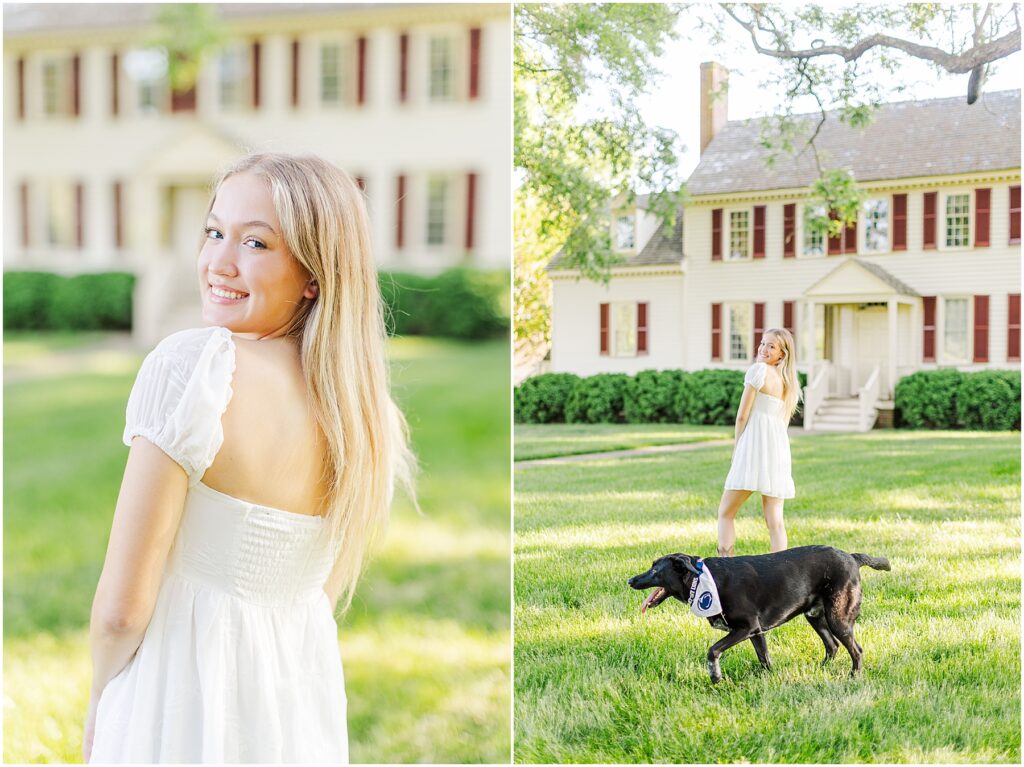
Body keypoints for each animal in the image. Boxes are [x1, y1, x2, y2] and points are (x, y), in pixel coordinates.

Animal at [622, 544, 888, 684]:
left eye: (655, 571)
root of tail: (851, 557)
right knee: (832, 646)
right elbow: (764, 658)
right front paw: (770, 677)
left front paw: (716, 677)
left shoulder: (746, 627)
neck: (705, 580)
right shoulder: (756, 631)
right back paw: (820, 669)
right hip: (815, 616)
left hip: (838, 618)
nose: (630, 580)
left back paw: (853, 676)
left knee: (856, 649)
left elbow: (712, 650)